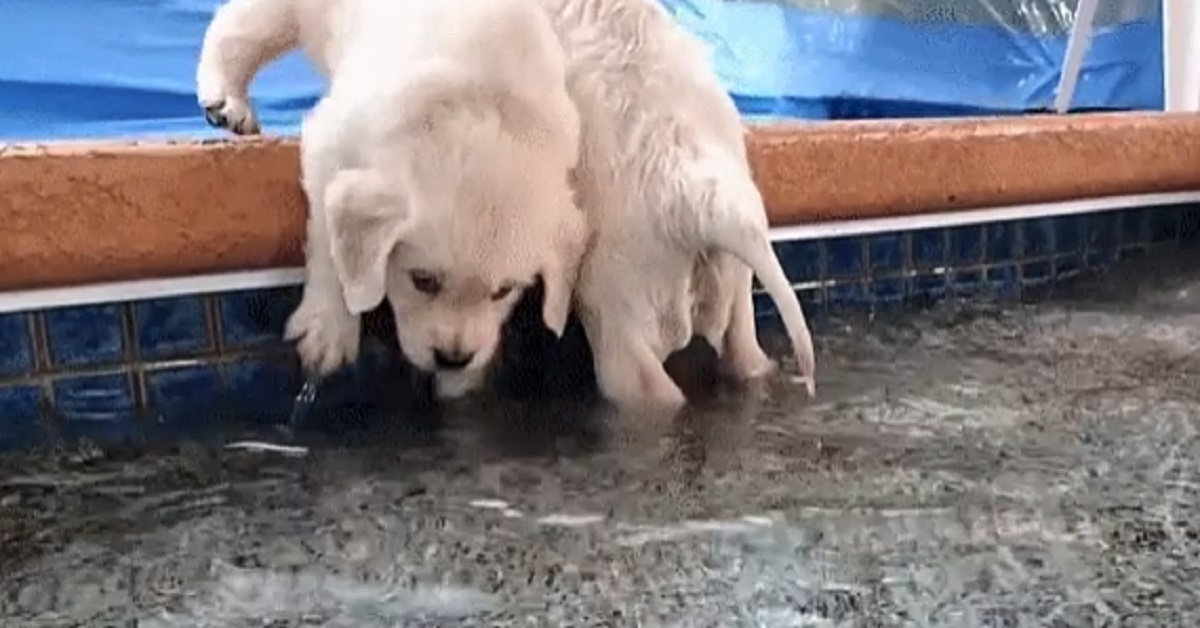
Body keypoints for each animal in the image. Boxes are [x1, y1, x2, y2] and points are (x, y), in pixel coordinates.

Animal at [196, 0, 585, 398]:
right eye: (422, 280)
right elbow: (329, 245)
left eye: (504, 291)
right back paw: (226, 98)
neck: (479, 103)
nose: (453, 359)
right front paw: (329, 327)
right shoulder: (332, 141)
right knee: (237, 27)